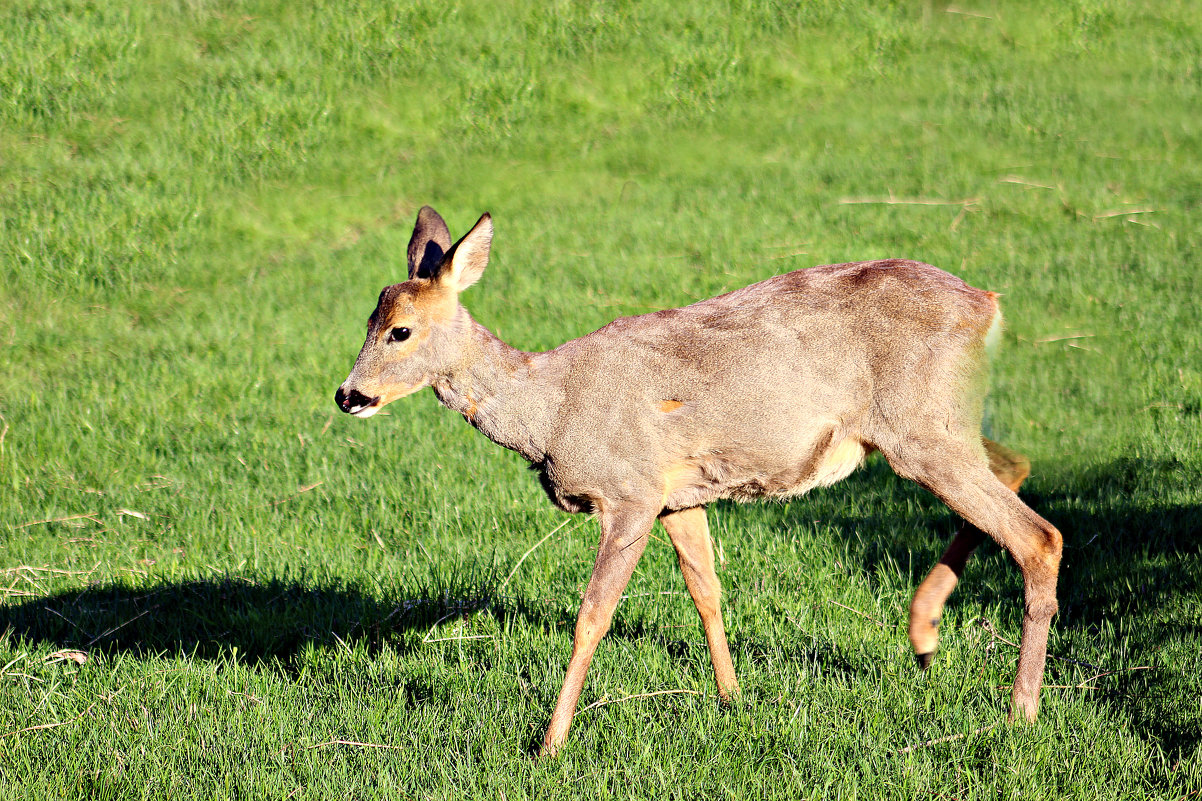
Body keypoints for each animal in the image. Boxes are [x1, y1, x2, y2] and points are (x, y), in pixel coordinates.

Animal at [334, 206, 1057, 755]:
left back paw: (1018, 709)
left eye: (401, 330)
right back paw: (925, 634)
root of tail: (987, 307)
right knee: (1016, 468)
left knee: (1038, 536)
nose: (348, 394)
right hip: (934, 424)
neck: (552, 410)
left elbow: (592, 615)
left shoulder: (629, 490)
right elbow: (706, 590)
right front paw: (733, 697)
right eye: (368, 320)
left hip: (919, 424)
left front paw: (549, 743)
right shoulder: (678, 496)